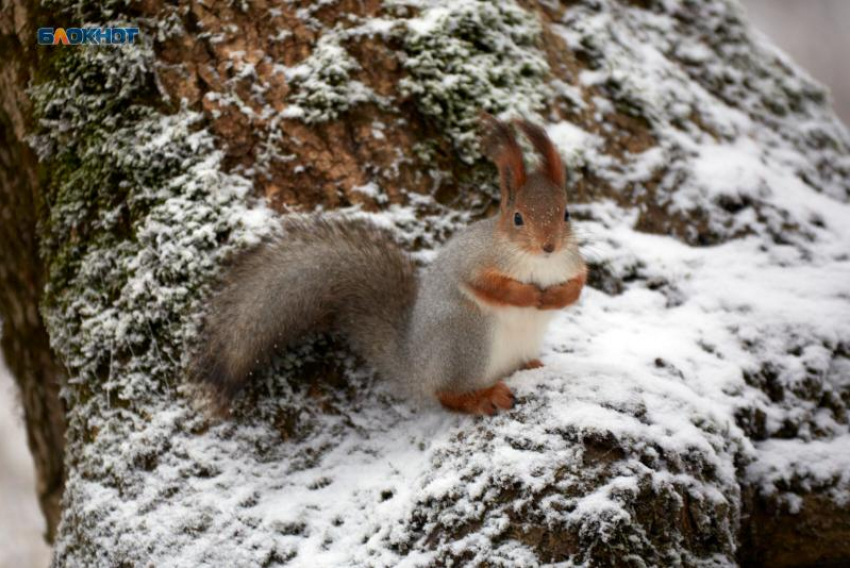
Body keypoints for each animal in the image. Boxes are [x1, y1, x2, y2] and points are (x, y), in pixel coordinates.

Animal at [194, 116, 584, 418]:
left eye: (567, 213)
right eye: (517, 218)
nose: (549, 246)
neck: (536, 262)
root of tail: (415, 366)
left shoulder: (572, 262)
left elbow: (579, 283)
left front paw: (556, 297)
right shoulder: (475, 260)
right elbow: (489, 285)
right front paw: (528, 295)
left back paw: (531, 365)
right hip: (467, 338)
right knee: (446, 393)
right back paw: (483, 397)